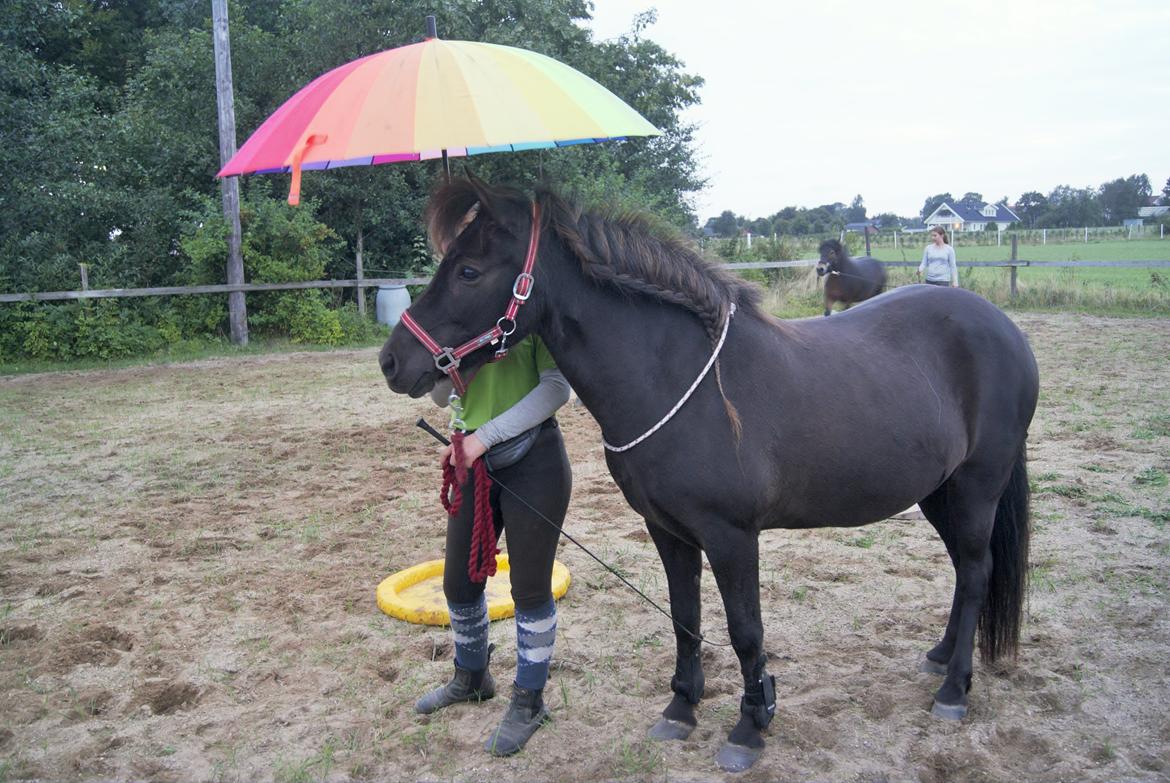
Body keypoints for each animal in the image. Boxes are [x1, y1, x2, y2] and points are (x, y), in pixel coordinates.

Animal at [379, 176, 1038, 767]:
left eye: (469, 271)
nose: (392, 361)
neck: (677, 380)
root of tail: (1005, 328)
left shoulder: (731, 537)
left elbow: (746, 630)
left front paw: (750, 727)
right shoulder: (669, 532)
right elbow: (685, 618)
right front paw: (681, 710)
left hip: (977, 488)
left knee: (975, 571)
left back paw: (953, 689)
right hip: (940, 492)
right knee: (966, 570)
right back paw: (941, 656)